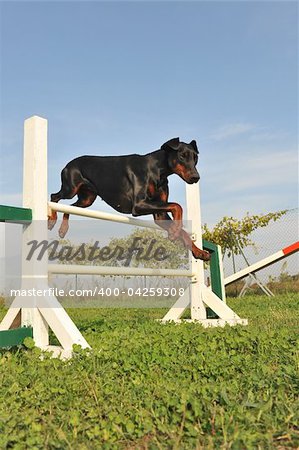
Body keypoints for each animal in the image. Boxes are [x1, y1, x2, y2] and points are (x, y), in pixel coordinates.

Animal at [48, 137, 211, 260]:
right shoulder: (139, 205)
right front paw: (175, 231)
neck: (157, 170)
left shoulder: (159, 213)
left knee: (69, 207)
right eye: (182, 156)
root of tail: (68, 164)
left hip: (87, 199)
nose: (196, 178)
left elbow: (181, 225)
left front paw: (198, 251)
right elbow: (177, 206)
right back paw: (51, 220)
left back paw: (63, 229)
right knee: (54, 197)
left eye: (195, 158)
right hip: (70, 188)